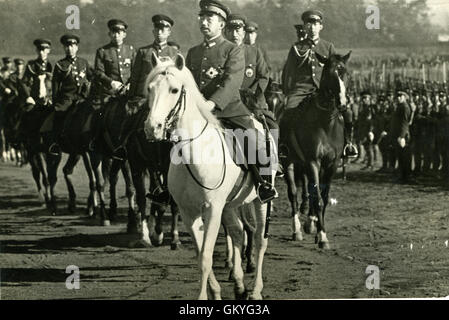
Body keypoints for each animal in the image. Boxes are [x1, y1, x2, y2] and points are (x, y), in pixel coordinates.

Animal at [144, 52, 276, 300]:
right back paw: (239, 284)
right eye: (150, 88)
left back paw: (256, 290)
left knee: (259, 240)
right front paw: (216, 291)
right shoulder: (189, 212)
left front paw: (204, 296)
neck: (194, 153)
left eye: (174, 90)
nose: (152, 128)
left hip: (260, 201)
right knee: (238, 232)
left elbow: (206, 257)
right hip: (230, 204)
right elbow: (200, 255)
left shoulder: (212, 208)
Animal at [280, 51, 350, 249]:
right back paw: (296, 230)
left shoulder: (332, 164)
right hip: (288, 161)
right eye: (329, 74)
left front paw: (319, 231)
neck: (326, 123)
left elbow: (323, 199)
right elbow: (317, 198)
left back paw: (309, 223)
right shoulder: (313, 161)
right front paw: (323, 237)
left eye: (345, 73)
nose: (342, 103)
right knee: (293, 193)